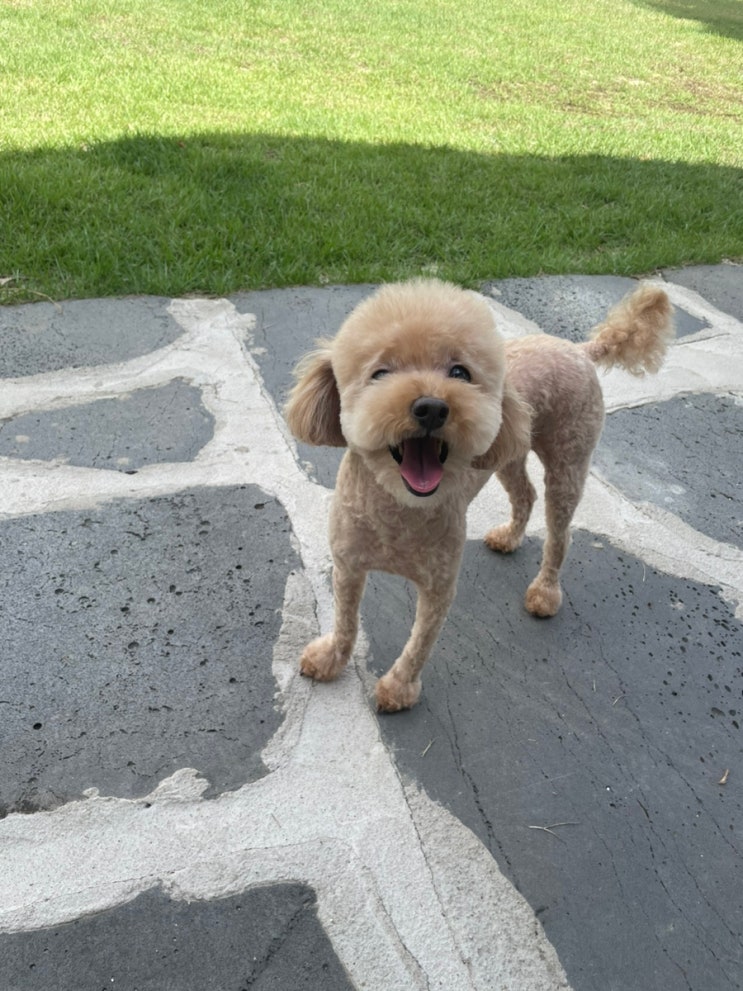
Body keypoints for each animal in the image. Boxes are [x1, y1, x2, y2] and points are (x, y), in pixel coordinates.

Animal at [285, 279, 673, 712]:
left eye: (460, 372)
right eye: (380, 373)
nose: (431, 407)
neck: (398, 509)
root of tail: (578, 348)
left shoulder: (438, 587)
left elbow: (419, 644)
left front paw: (398, 690)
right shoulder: (348, 566)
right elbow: (346, 621)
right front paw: (330, 658)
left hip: (569, 461)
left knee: (559, 534)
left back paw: (545, 593)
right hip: (508, 455)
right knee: (525, 494)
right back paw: (508, 538)